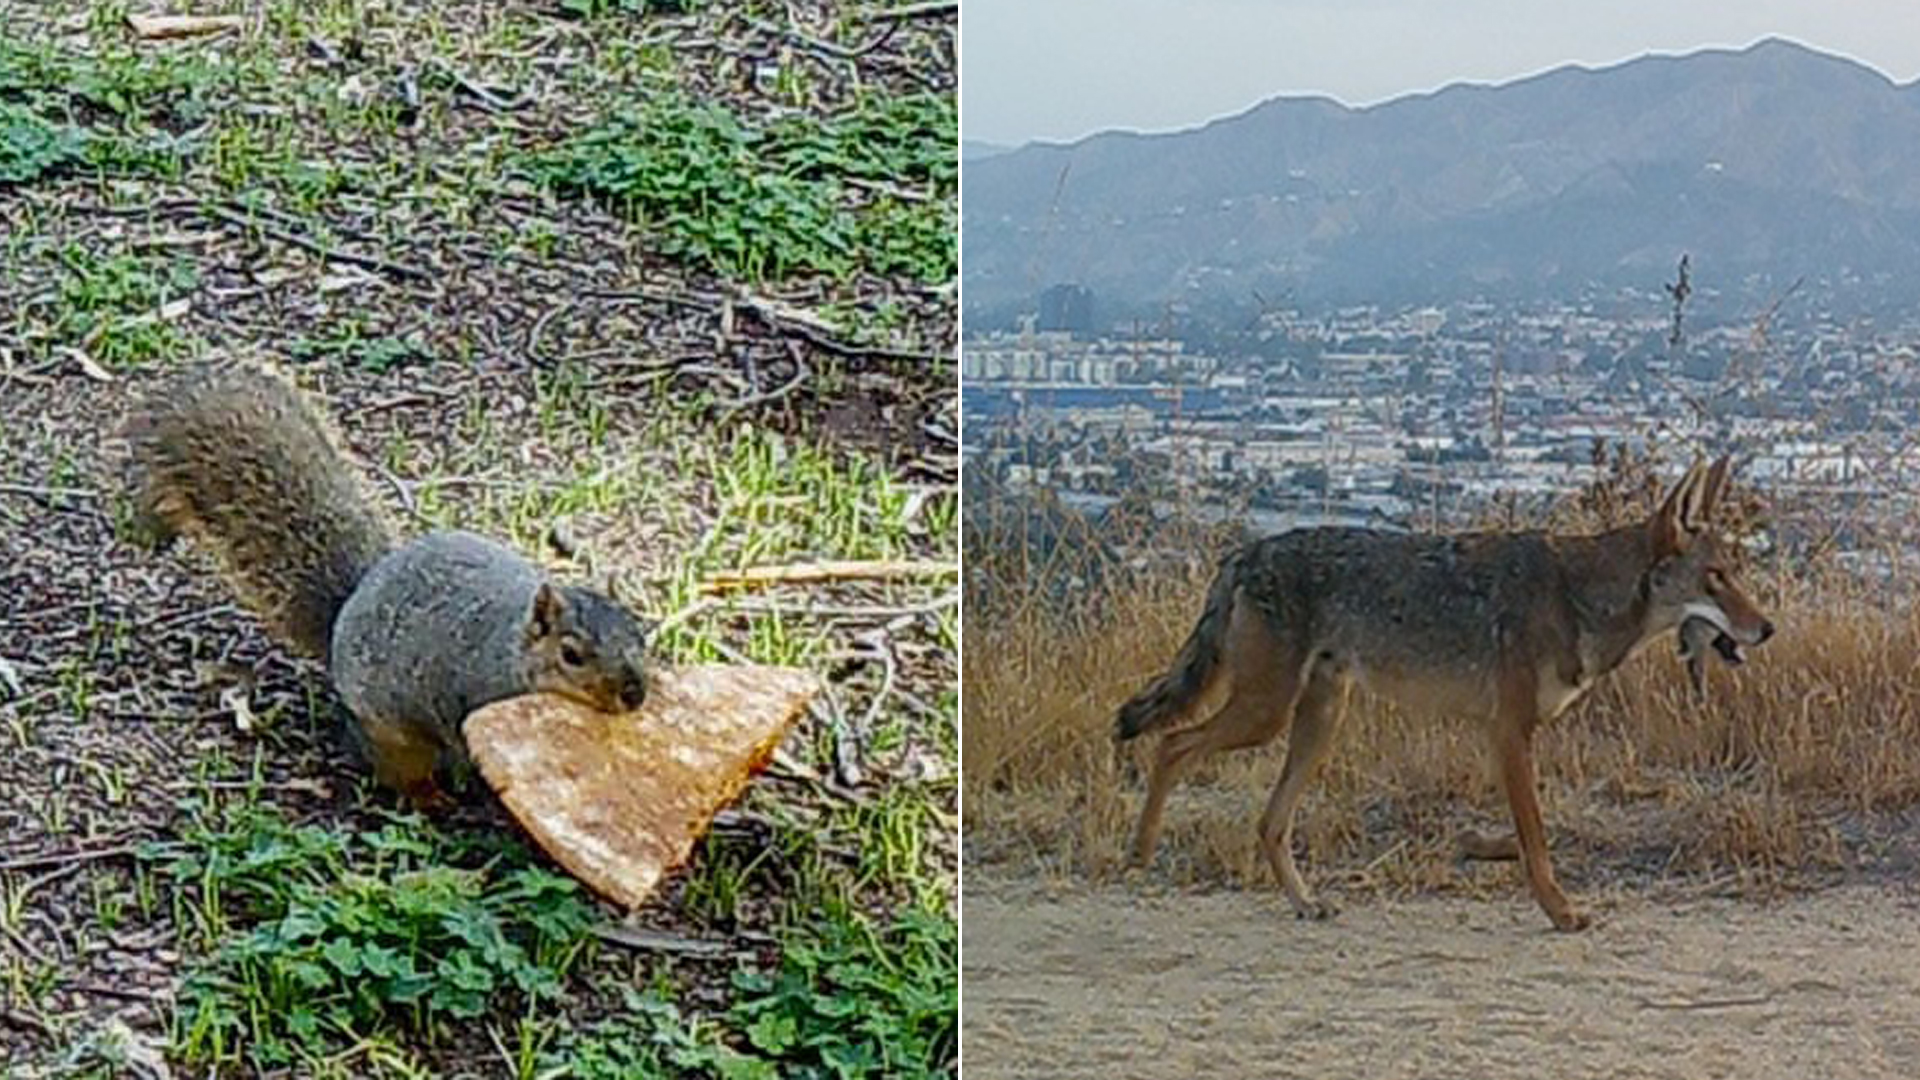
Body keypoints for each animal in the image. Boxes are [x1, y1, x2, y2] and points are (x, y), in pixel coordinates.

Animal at [129, 361, 652, 807]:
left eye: (639, 635)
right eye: (572, 654)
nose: (635, 694)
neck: (512, 650)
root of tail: (347, 609)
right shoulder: (471, 692)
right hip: (390, 735)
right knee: (396, 770)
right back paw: (429, 797)